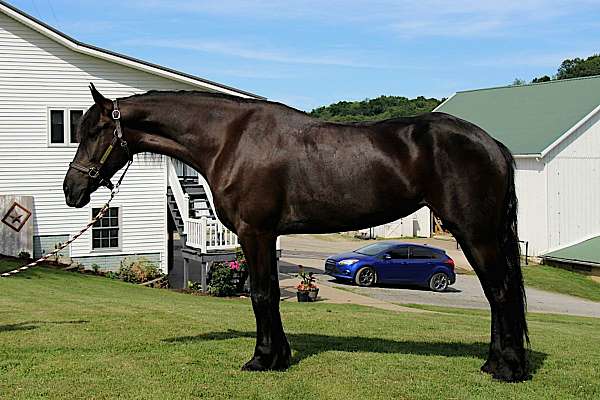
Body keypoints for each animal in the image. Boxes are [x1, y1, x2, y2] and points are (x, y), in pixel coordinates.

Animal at [62, 84, 528, 382]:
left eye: (94, 131)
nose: (72, 190)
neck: (230, 139)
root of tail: (493, 145)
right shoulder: (266, 235)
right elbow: (267, 292)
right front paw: (279, 357)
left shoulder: (255, 232)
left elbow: (261, 293)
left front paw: (262, 359)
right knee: (496, 295)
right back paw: (494, 363)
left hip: (475, 234)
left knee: (500, 292)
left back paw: (507, 369)